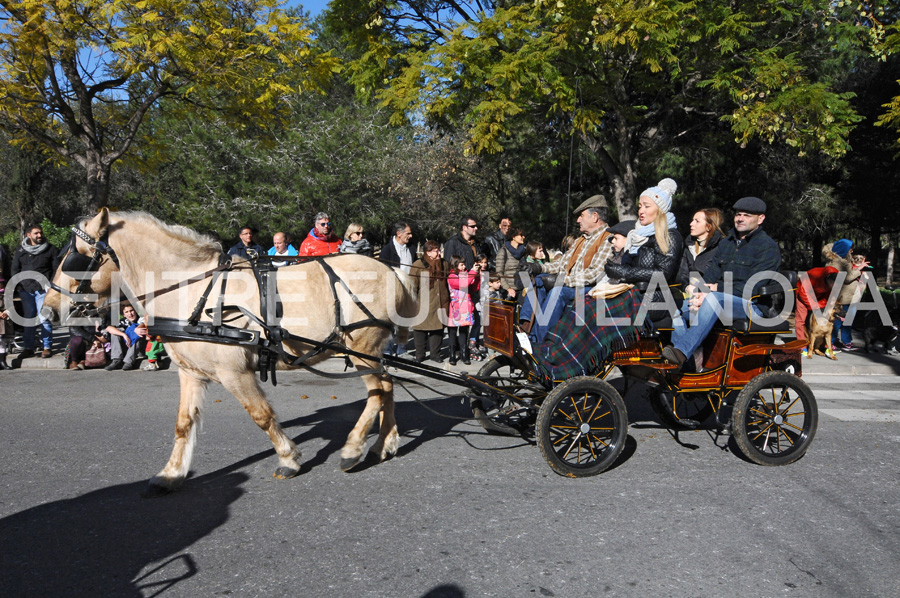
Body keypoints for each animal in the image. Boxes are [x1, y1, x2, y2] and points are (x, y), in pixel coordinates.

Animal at [45, 210, 418, 496]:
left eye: (74, 257)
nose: (48, 308)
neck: (194, 292)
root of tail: (389, 270)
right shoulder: (191, 372)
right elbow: (183, 424)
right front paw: (171, 474)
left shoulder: (234, 372)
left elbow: (261, 415)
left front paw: (288, 459)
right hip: (370, 352)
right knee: (387, 388)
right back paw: (384, 444)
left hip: (362, 347)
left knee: (379, 391)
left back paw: (354, 449)